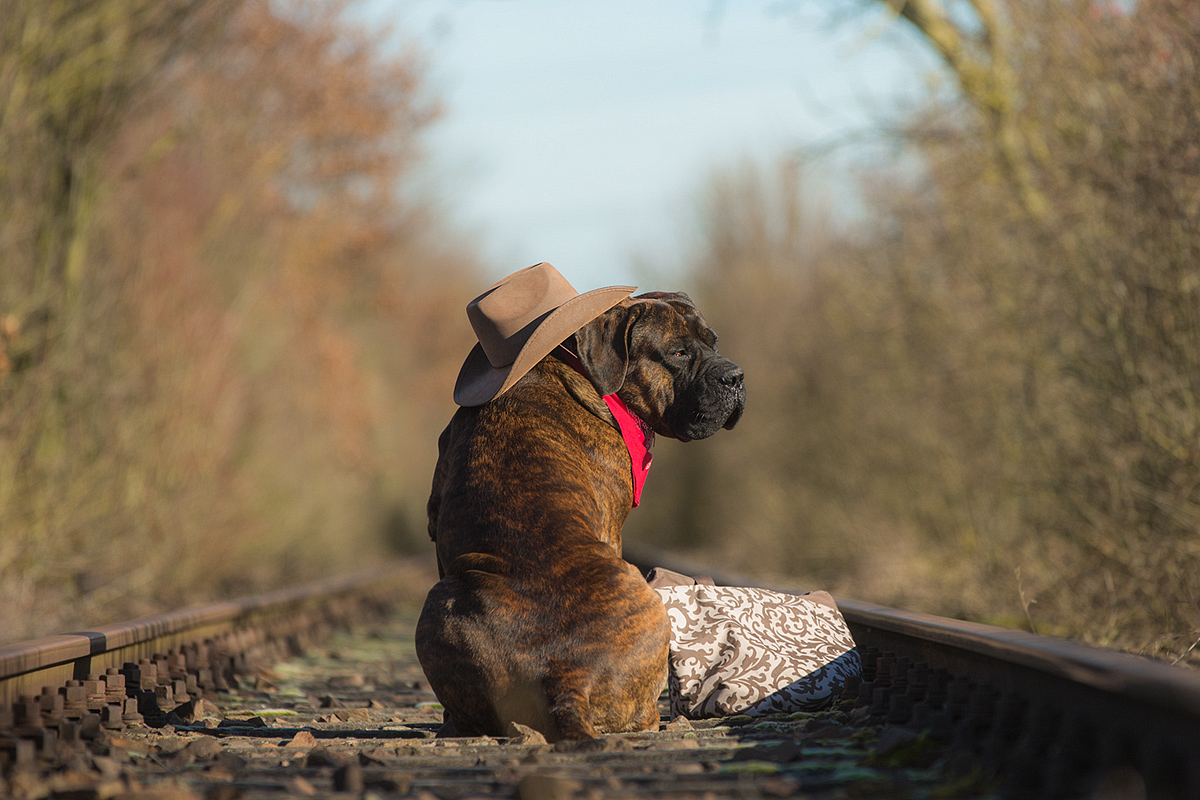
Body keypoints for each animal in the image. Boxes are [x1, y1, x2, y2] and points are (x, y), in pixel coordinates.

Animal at [417, 266, 744, 743]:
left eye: (713, 342)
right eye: (678, 352)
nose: (734, 376)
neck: (582, 374)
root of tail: (566, 678)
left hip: (439, 603)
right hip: (649, 604)